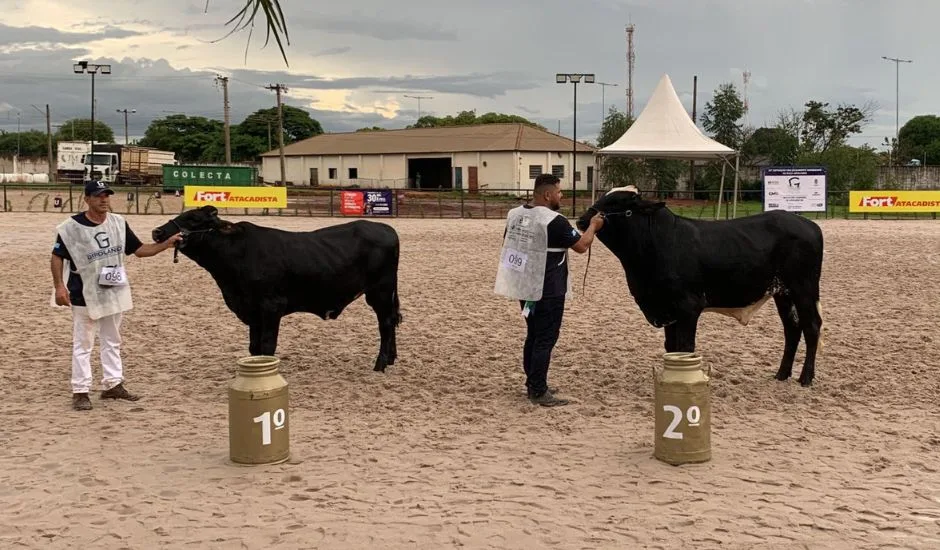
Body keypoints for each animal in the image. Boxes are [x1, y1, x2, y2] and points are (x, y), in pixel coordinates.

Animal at [152, 207, 402, 376]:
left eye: (193, 218)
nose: (157, 231)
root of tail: (386, 228)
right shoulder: (252, 311)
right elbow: (254, 348)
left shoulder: (271, 306)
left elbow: (267, 345)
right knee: (391, 321)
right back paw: (391, 359)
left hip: (379, 291)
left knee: (385, 324)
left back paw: (380, 364)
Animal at [576, 190, 828, 388]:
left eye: (616, 203)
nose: (582, 220)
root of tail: (809, 224)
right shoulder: (668, 311)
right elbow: (671, 347)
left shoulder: (688, 308)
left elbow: (685, 347)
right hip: (783, 293)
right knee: (792, 328)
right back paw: (782, 374)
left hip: (803, 288)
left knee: (811, 326)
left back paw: (806, 378)